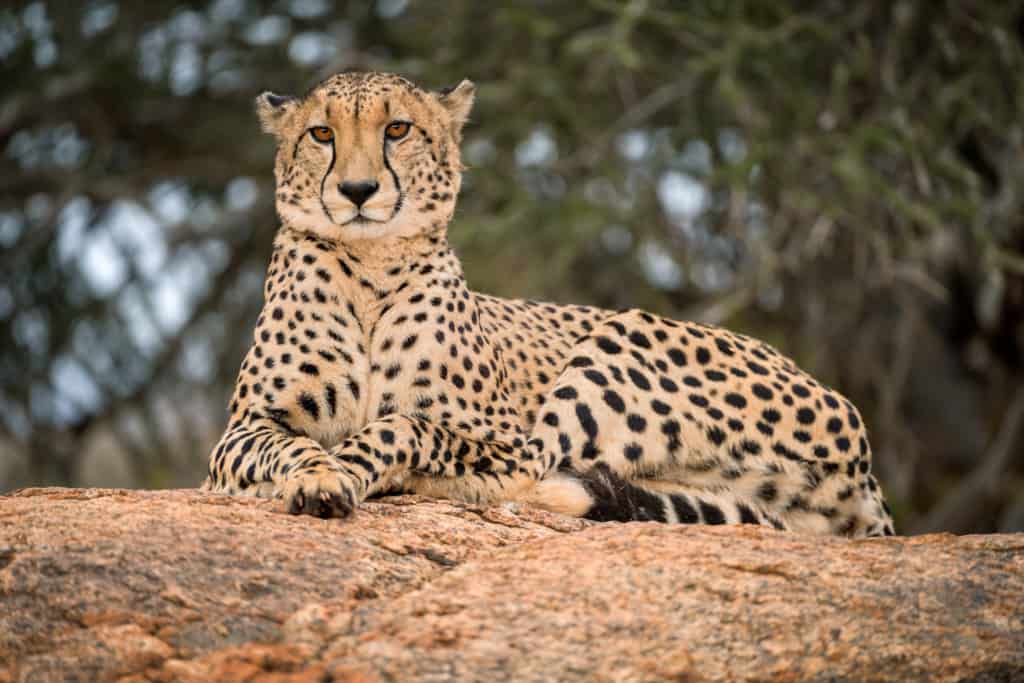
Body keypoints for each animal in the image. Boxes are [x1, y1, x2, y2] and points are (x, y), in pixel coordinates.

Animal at [201, 70, 897, 540]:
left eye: (397, 129)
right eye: (321, 134)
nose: (357, 189)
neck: (371, 267)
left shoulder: (500, 437)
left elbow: (407, 426)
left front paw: (354, 466)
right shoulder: (237, 436)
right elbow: (291, 447)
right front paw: (319, 477)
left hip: (619, 339)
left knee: (535, 475)